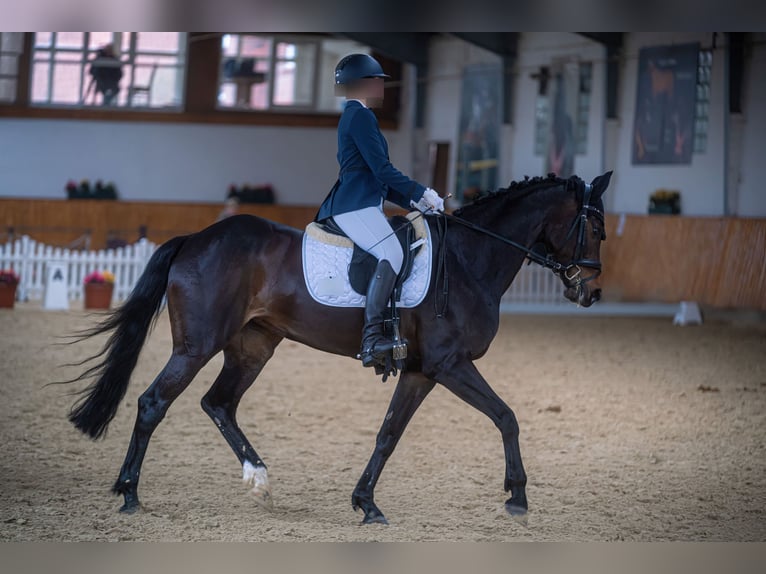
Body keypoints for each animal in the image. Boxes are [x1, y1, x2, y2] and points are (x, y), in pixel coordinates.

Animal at [63, 170, 616, 528]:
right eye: (596, 227)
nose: (590, 292)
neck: (468, 259)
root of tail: (197, 237)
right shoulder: (450, 364)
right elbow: (507, 417)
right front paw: (518, 496)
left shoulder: (422, 371)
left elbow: (388, 435)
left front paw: (366, 503)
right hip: (198, 346)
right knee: (154, 402)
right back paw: (130, 493)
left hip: (253, 345)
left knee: (218, 403)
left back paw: (258, 479)